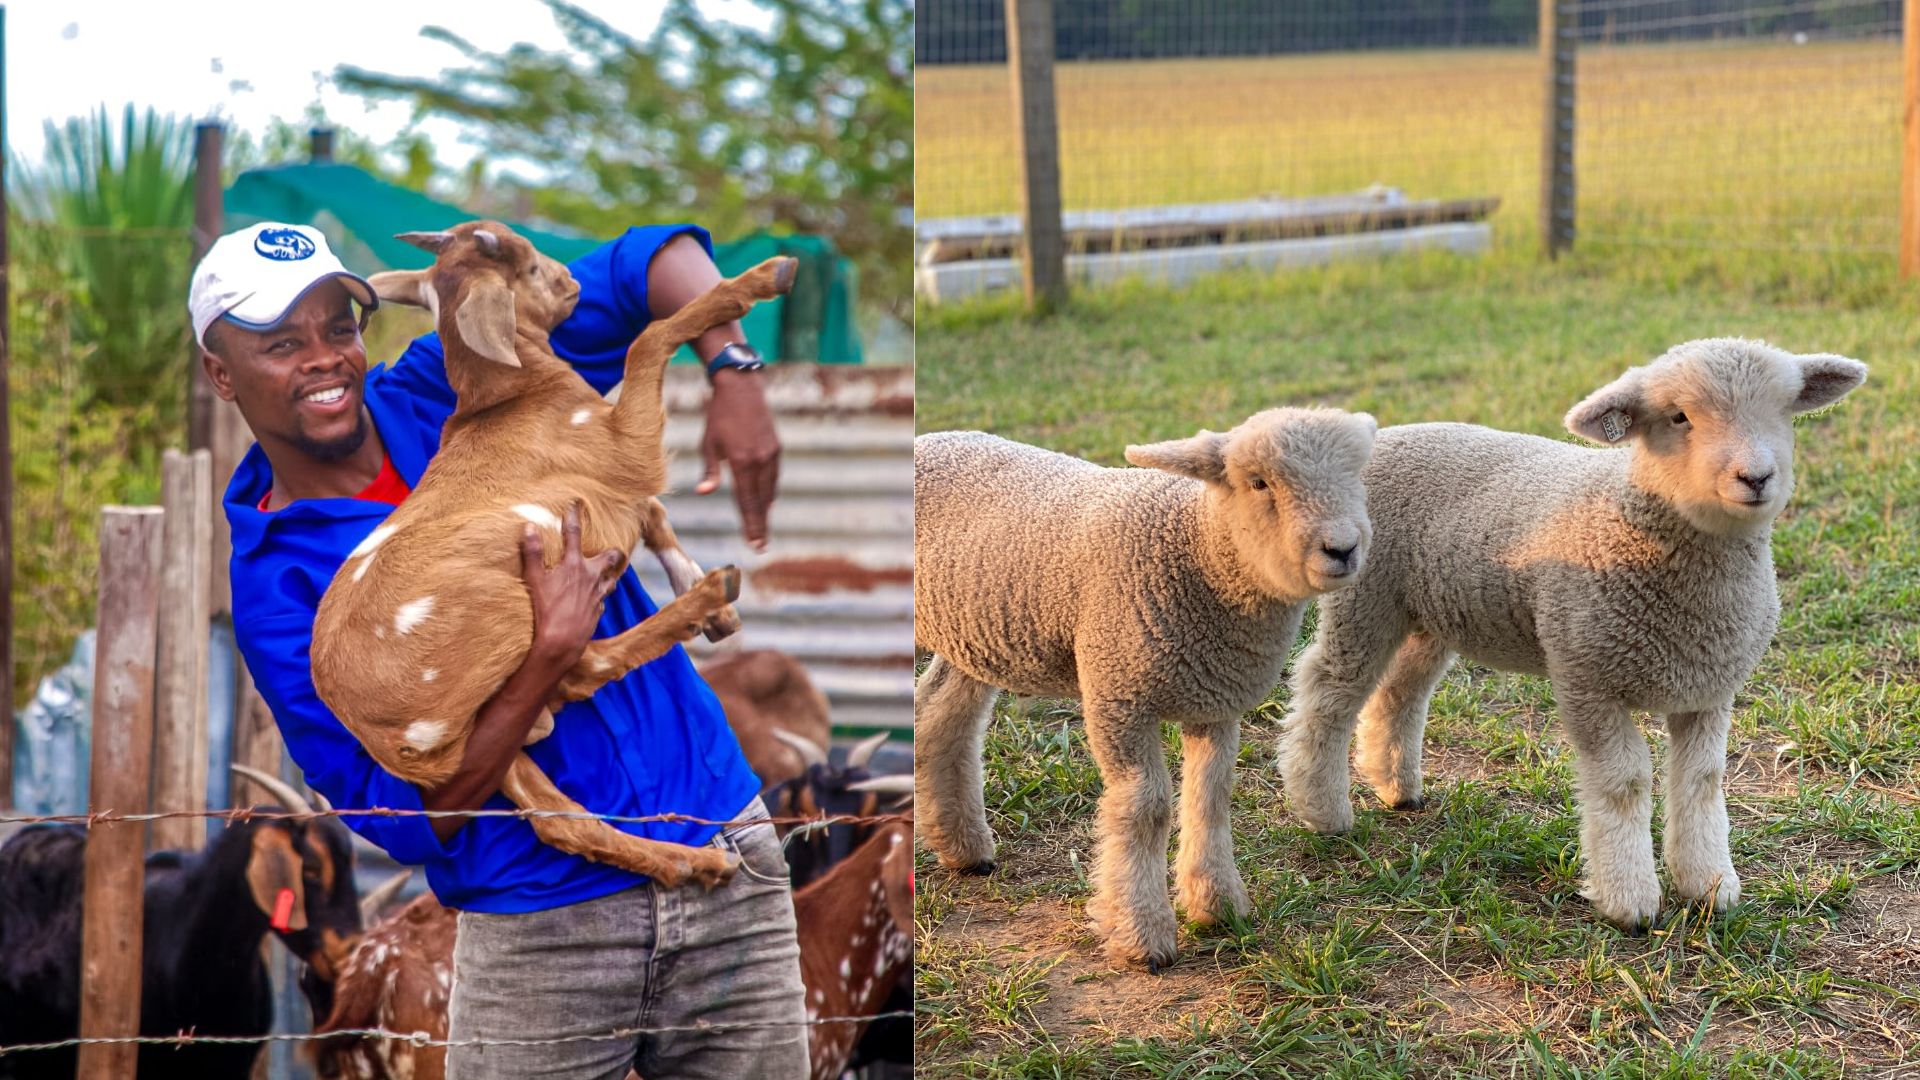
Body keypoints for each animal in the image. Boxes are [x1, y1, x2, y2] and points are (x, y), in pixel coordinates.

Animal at [914, 408, 1378, 969]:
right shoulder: (1118, 695)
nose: (1343, 549)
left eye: (1357, 474)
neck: (1198, 551)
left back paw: (963, 848)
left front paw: (1218, 905)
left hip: (973, 635)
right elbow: (1146, 807)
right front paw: (1142, 933)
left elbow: (1211, 797)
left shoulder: (1213, 702)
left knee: (941, 717)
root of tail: (929, 439)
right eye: (1258, 482)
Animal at [1279, 338, 1867, 929]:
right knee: (1328, 689)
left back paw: (1397, 787)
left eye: (1785, 410)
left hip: (1430, 611)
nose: (1756, 477)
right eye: (1678, 416)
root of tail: (1384, 437)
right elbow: (1624, 781)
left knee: (1400, 691)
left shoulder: (1707, 688)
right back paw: (1322, 809)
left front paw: (1708, 885)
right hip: (1364, 598)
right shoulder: (1586, 677)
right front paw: (1630, 899)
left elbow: (1702, 779)